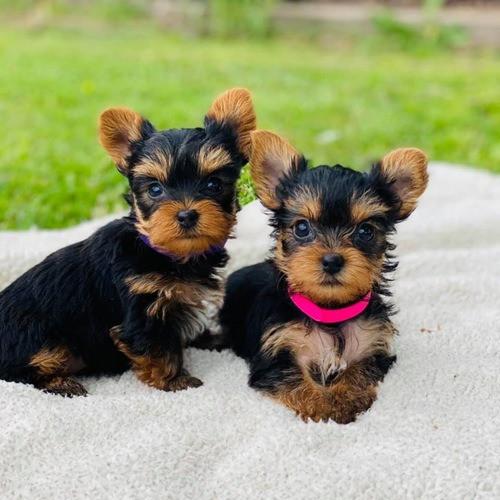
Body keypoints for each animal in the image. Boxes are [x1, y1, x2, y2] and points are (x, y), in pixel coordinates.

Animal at [0, 88, 256, 396]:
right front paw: (175, 380)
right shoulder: (141, 308)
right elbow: (158, 347)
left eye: (214, 184)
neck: (165, 253)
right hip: (41, 336)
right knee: (23, 369)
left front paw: (211, 338)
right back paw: (61, 383)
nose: (186, 215)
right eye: (155, 189)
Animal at [221, 129, 428, 422]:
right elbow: (295, 379)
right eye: (302, 227)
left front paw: (345, 399)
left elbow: (359, 371)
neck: (329, 311)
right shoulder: (275, 356)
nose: (332, 260)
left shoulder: (373, 348)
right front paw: (322, 406)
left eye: (365, 231)